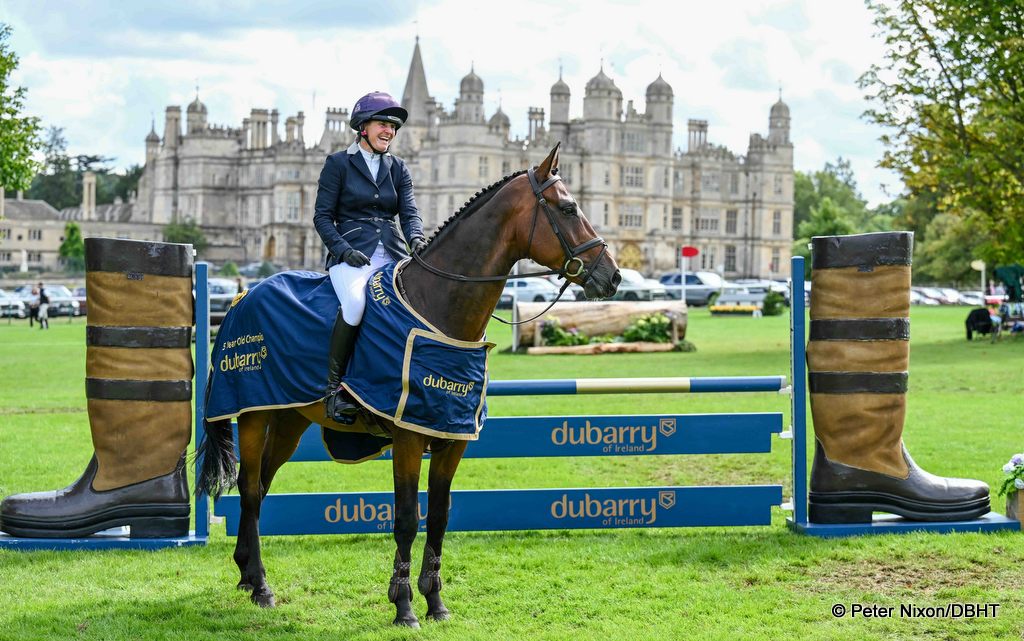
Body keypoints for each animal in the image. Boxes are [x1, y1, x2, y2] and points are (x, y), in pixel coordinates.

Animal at [197, 143, 620, 627]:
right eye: (568, 208)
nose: (612, 275)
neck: (440, 308)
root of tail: (242, 295)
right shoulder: (407, 436)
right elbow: (405, 518)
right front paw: (403, 605)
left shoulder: (451, 438)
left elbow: (438, 517)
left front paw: (435, 601)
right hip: (253, 415)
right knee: (249, 491)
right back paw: (263, 587)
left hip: (289, 420)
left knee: (261, 488)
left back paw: (248, 574)